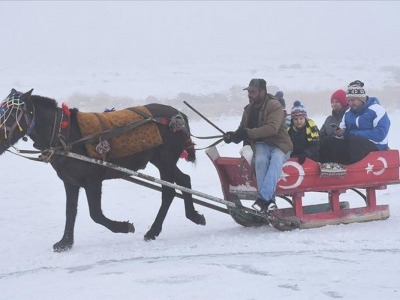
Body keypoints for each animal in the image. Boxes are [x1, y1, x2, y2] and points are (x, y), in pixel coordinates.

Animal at [0, 88, 205, 251]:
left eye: (12, 114)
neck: (65, 135)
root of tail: (178, 116)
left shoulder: (93, 181)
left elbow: (95, 214)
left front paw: (124, 227)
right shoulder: (70, 181)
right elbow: (70, 211)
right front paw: (65, 242)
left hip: (165, 160)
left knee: (169, 191)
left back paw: (153, 231)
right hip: (162, 160)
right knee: (184, 180)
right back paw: (194, 216)